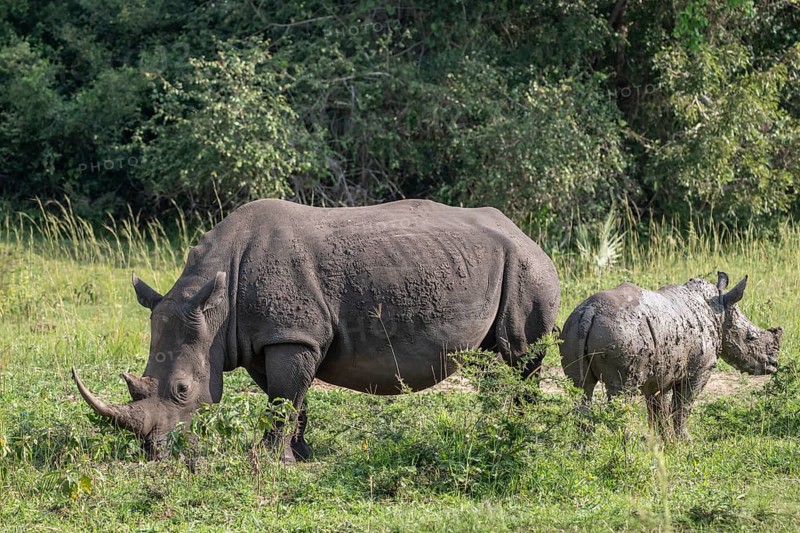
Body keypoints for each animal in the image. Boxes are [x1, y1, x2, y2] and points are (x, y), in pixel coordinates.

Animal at [73, 199, 560, 461]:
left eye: (181, 391)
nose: (153, 452)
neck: (215, 302)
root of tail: (527, 234)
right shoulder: (266, 338)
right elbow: (290, 399)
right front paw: (302, 454)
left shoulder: (292, 334)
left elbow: (283, 399)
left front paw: (271, 460)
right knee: (492, 362)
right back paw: (493, 429)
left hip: (528, 267)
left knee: (519, 358)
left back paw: (517, 435)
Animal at [559, 272, 781, 438]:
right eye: (751, 337)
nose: (774, 364)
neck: (719, 311)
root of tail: (590, 311)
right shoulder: (699, 370)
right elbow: (683, 406)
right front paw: (684, 442)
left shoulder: (663, 372)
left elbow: (659, 410)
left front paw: (663, 442)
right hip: (619, 333)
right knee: (621, 391)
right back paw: (625, 445)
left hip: (573, 326)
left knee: (581, 388)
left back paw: (586, 447)